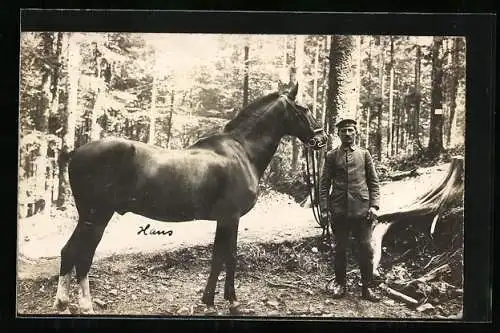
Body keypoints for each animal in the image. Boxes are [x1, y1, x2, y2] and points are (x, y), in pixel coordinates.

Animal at [53, 82, 328, 314]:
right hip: (97, 215)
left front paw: (212, 300)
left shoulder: (225, 220)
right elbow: (227, 257)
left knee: (68, 251)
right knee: (82, 254)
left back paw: (63, 302)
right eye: (303, 109)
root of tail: (76, 153)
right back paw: (85, 305)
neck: (242, 150)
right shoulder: (231, 217)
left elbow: (221, 256)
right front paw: (228, 302)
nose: (322, 138)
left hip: (88, 216)